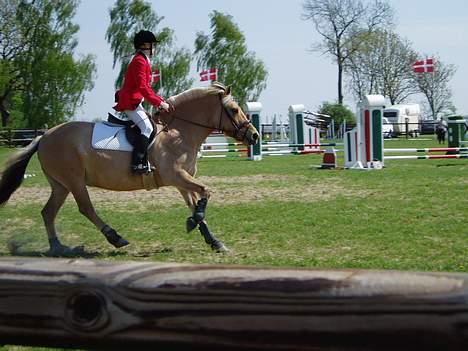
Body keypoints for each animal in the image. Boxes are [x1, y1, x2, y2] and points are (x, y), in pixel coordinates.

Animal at [0, 84, 260, 258]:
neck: (179, 132)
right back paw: (114, 237)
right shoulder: (176, 176)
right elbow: (206, 192)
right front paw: (193, 223)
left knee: (48, 212)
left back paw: (57, 246)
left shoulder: (182, 181)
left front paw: (213, 240)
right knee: (85, 208)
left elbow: (198, 204)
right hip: (74, 181)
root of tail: (44, 136)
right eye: (234, 109)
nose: (255, 136)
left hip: (60, 185)